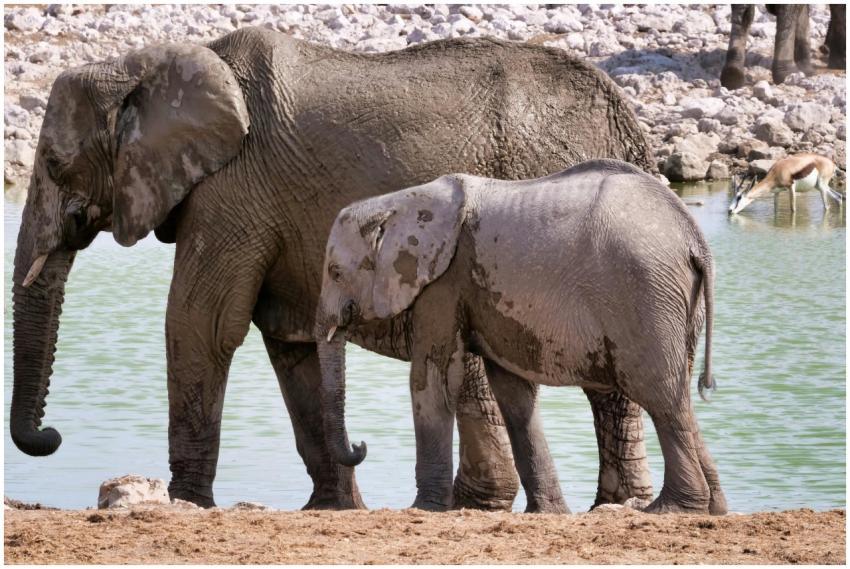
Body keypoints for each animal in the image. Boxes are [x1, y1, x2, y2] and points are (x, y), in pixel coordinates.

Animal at [10, 27, 656, 510]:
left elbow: (201, 324)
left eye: (54, 163)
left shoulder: (233, 188)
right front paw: (332, 508)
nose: (51, 437)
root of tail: (629, 125)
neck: (138, 66)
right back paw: (614, 505)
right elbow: (290, 344)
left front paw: (187, 502)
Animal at [315, 159, 728, 515]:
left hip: (644, 292)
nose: (361, 444)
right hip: (673, 300)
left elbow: (432, 377)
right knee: (679, 396)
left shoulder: (443, 280)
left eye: (335, 272)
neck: (396, 203)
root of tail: (696, 241)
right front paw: (548, 512)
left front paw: (424, 509)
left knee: (658, 394)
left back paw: (671, 509)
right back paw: (713, 509)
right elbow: (513, 393)